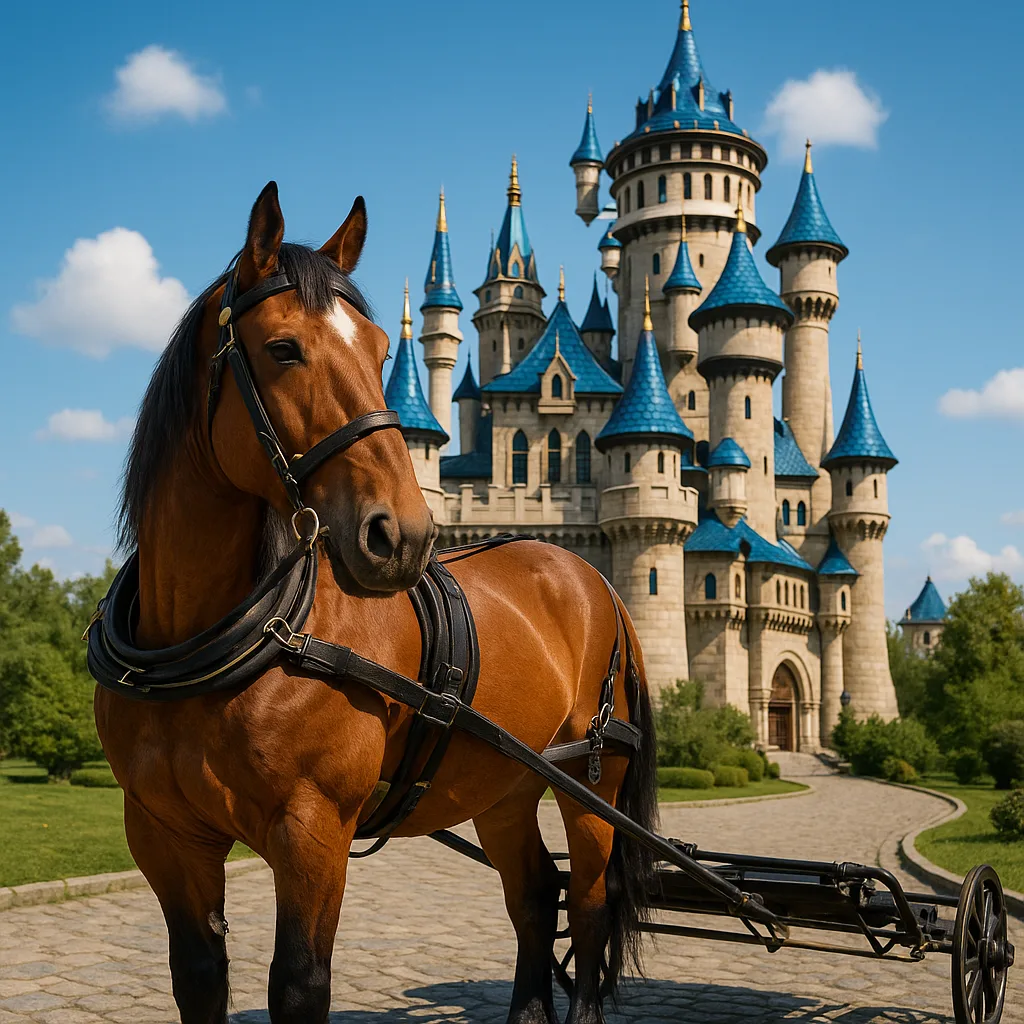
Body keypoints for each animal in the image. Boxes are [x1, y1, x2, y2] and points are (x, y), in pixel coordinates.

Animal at [92, 182, 658, 1024]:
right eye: (283, 348)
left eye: (381, 350)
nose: (407, 533)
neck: (212, 638)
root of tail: (596, 581)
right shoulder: (162, 835)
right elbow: (198, 978)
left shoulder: (314, 832)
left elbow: (300, 984)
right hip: (505, 786)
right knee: (533, 897)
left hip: (592, 787)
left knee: (587, 911)